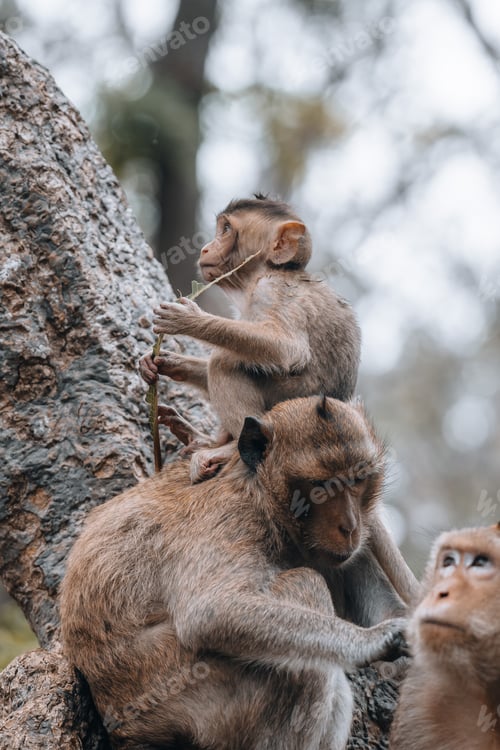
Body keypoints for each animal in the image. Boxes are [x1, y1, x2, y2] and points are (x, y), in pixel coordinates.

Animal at [61, 396, 410, 750]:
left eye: (357, 481)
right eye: (321, 487)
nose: (349, 527)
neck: (261, 494)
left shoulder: (355, 548)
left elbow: (386, 609)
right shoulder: (230, 515)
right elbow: (210, 611)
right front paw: (375, 640)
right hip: (185, 696)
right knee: (307, 595)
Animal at [140, 195, 361, 483]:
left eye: (226, 230)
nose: (205, 249)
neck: (261, 274)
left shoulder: (271, 290)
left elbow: (287, 349)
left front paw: (188, 319)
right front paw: (163, 362)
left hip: (289, 403)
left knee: (224, 362)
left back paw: (228, 447)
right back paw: (200, 438)